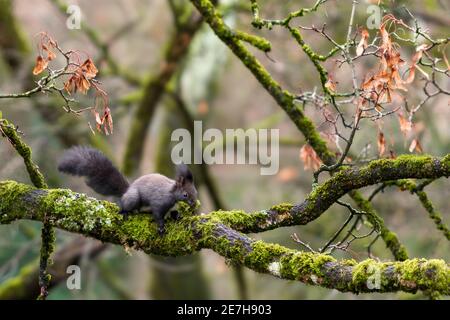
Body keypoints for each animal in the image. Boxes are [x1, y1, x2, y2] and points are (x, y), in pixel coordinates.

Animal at [57, 146, 198, 235]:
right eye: (185, 194)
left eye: (195, 192)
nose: (194, 204)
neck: (171, 193)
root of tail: (126, 191)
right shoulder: (159, 202)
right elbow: (158, 214)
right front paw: (161, 227)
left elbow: (172, 212)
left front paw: (176, 215)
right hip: (134, 198)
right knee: (126, 206)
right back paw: (124, 211)